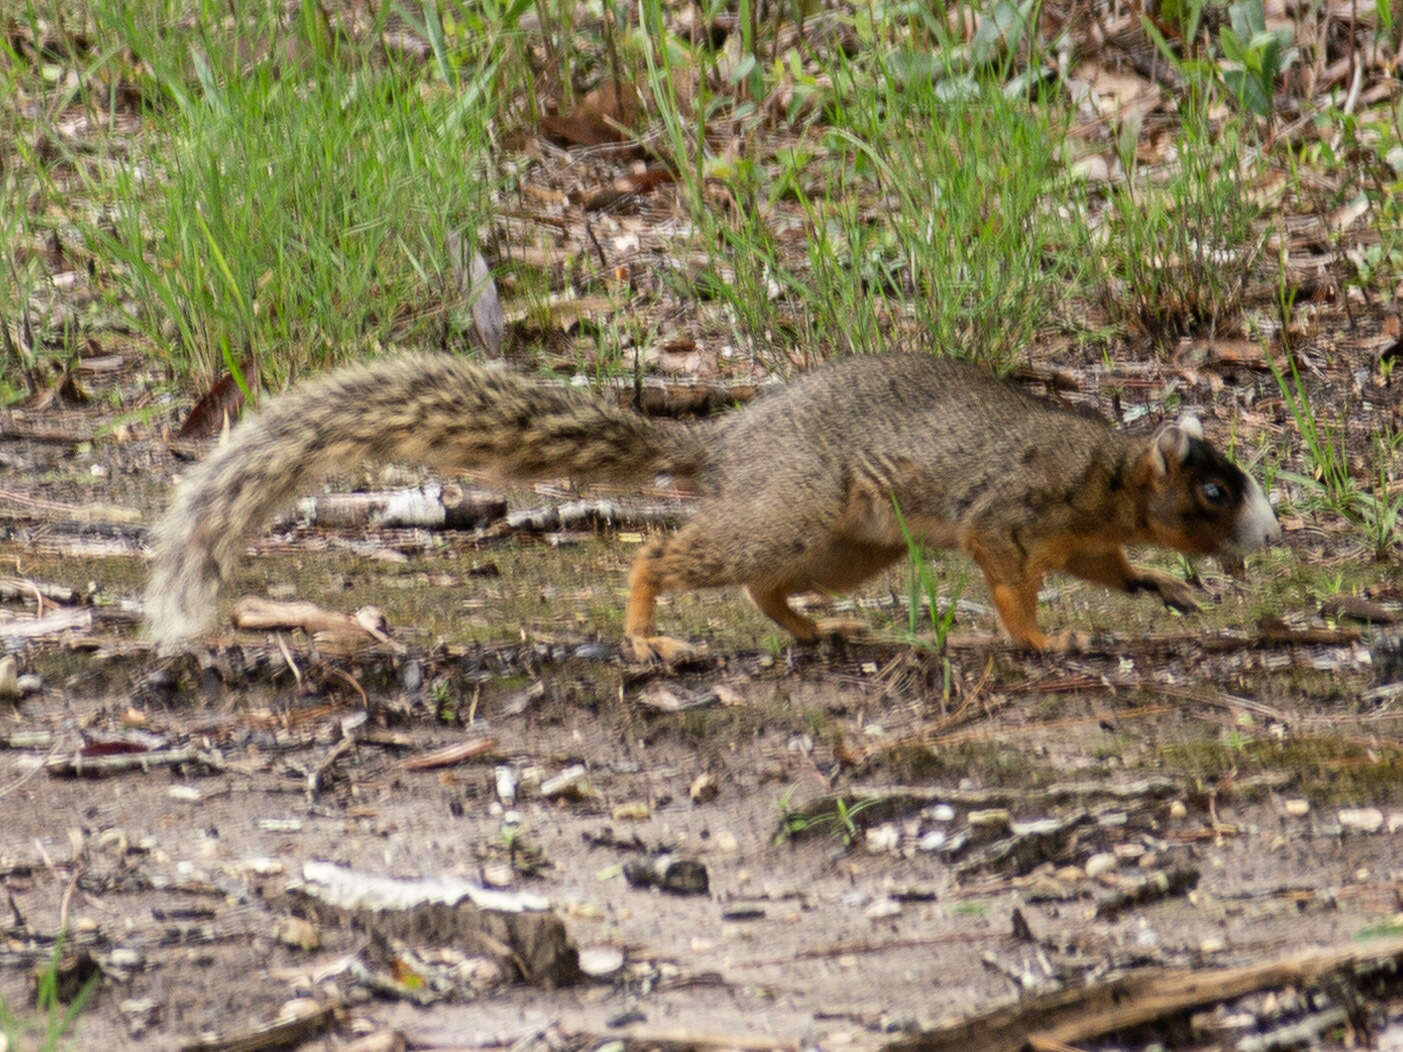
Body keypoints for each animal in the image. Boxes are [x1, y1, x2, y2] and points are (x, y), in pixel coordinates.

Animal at [145, 354, 1285, 659]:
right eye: (1213, 489)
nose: (1266, 534)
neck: (1108, 474)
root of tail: (729, 442)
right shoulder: (1011, 510)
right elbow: (1007, 580)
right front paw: (1041, 639)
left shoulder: (1079, 532)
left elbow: (1105, 567)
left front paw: (1157, 587)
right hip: (793, 511)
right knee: (668, 555)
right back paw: (648, 629)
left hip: (845, 546)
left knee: (768, 590)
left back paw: (815, 629)